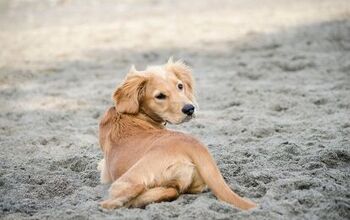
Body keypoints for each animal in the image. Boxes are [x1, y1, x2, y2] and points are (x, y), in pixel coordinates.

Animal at [98, 59, 258, 211]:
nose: (190, 109)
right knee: (172, 190)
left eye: (180, 86)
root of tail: (193, 146)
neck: (132, 114)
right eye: (160, 96)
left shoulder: (105, 172)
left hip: (125, 180)